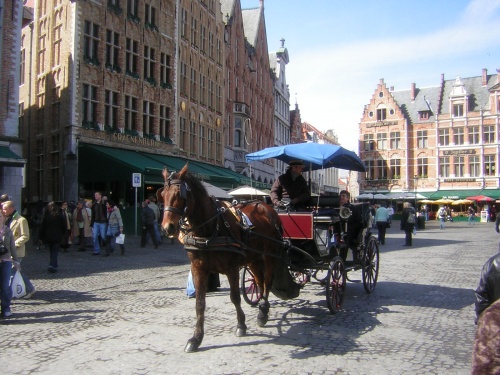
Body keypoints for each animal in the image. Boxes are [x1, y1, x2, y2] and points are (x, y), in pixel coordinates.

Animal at [158, 164, 284, 352]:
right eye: (162, 195)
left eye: (180, 194)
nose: (168, 227)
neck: (211, 228)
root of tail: (265, 206)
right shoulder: (198, 268)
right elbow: (200, 303)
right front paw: (196, 338)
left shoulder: (231, 269)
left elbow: (235, 297)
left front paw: (241, 325)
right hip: (253, 258)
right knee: (259, 281)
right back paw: (262, 307)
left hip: (269, 255)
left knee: (267, 281)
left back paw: (263, 311)